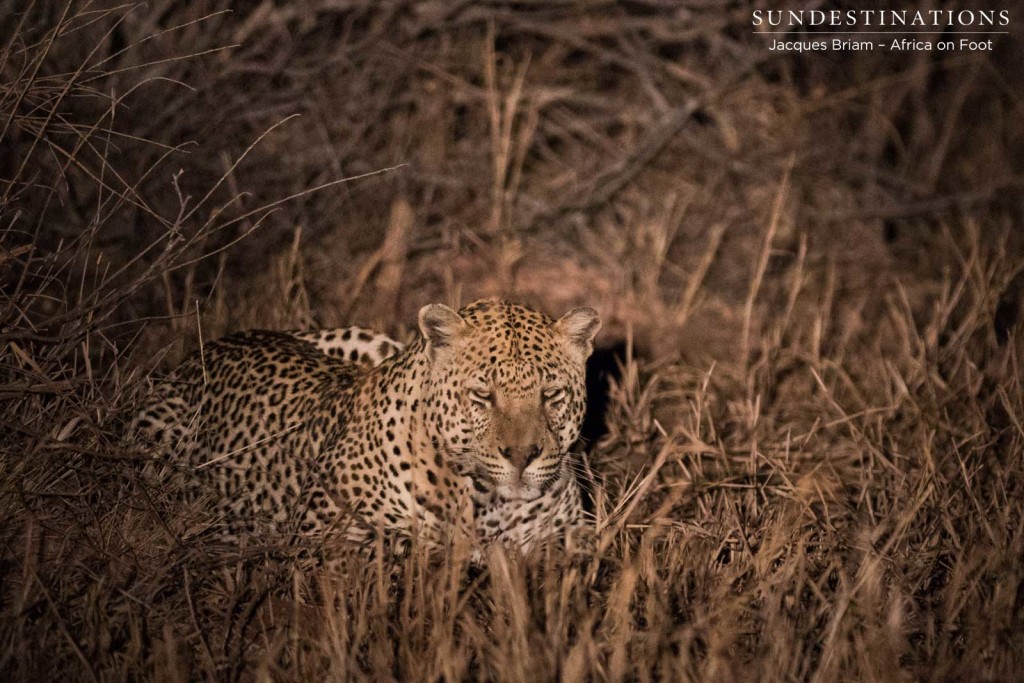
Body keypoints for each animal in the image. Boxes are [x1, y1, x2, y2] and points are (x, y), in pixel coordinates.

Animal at [135, 299, 598, 557]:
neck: (490, 503)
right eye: (483, 395)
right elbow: (405, 548)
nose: (522, 457)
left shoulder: (570, 531)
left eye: (551, 394)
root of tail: (198, 353)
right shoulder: (322, 538)